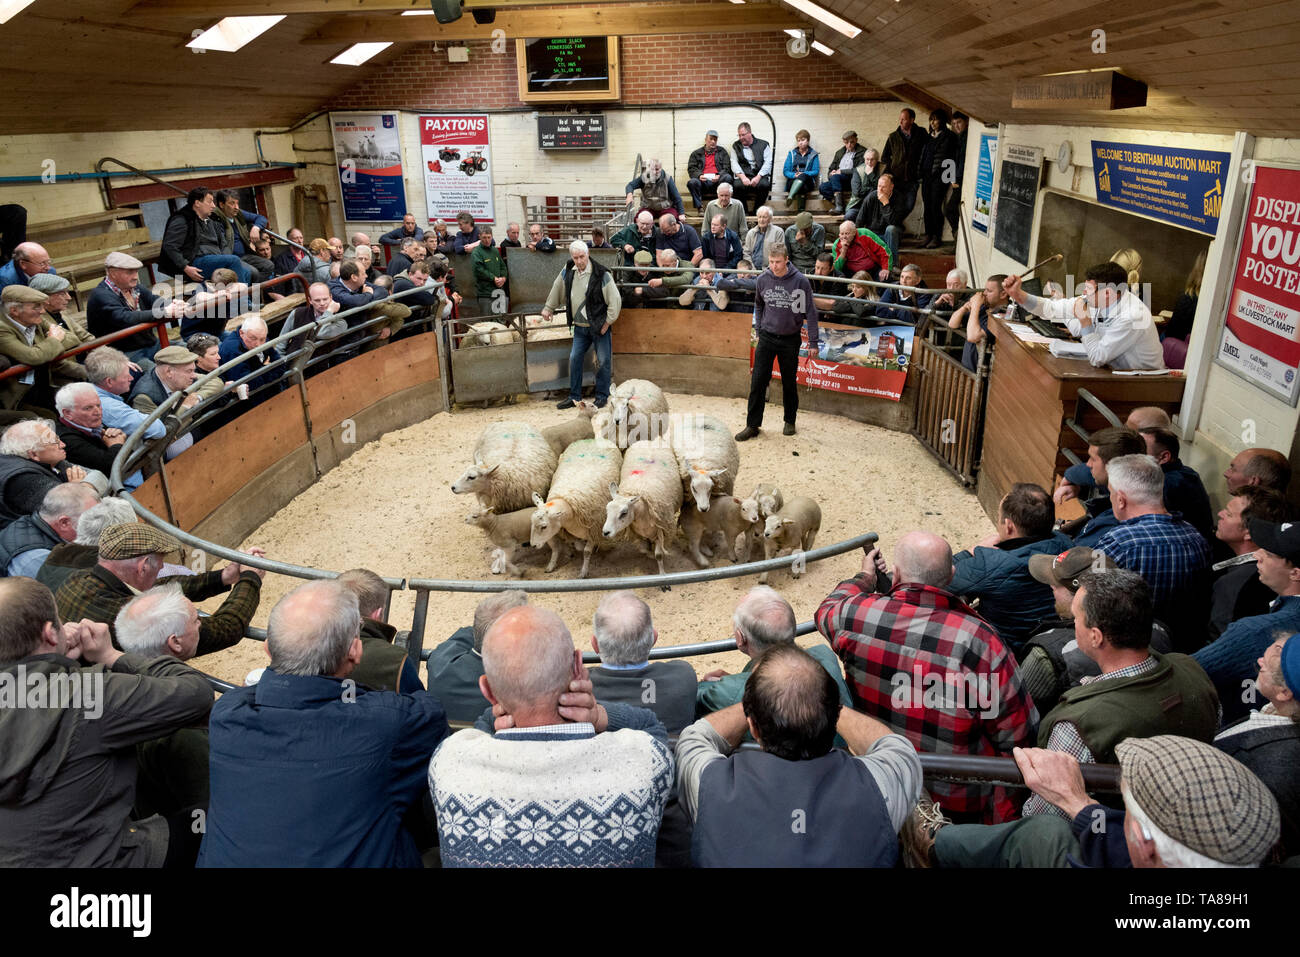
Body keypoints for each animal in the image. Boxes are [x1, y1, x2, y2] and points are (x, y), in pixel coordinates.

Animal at [533, 439, 624, 574]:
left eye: (544, 526)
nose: (533, 545)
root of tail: (594, 439)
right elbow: (576, 545)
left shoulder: (594, 528)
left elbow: (586, 551)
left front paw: (583, 572)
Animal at [603, 436, 686, 579]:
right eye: (607, 510)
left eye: (624, 513)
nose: (605, 532)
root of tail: (651, 441)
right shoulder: (637, 532)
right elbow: (643, 549)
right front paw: (648, 552)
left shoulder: (661, 531)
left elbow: (659, 555)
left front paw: (662, 574)